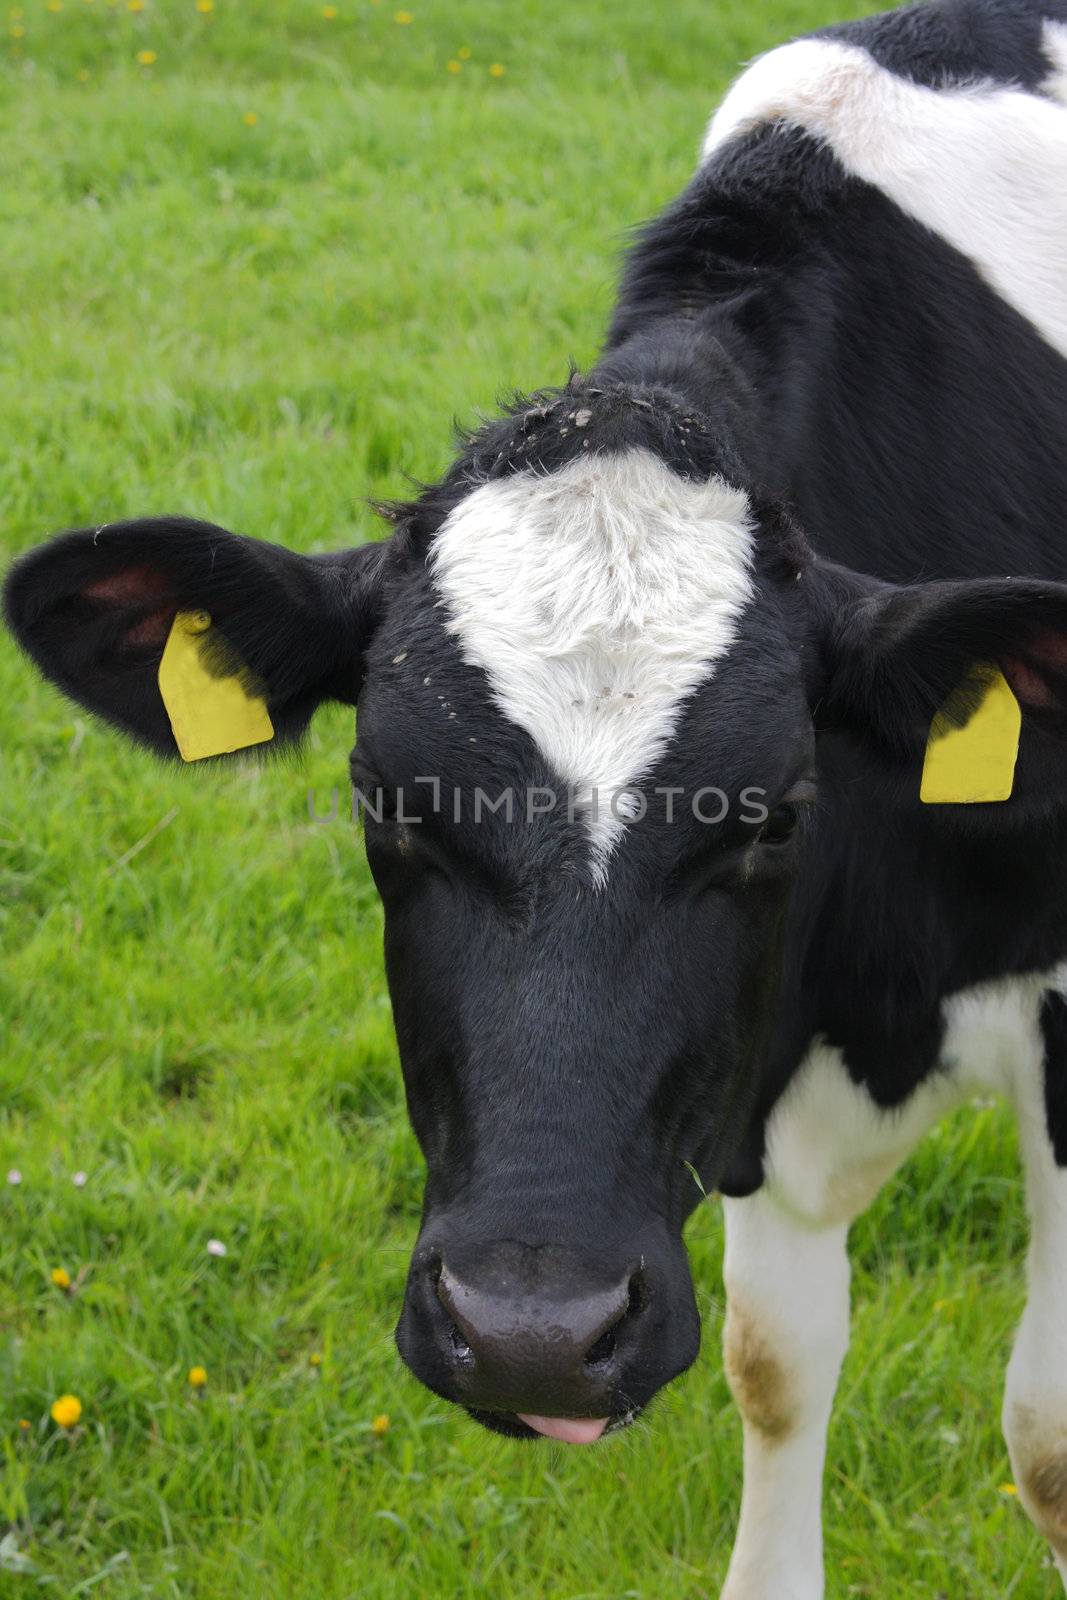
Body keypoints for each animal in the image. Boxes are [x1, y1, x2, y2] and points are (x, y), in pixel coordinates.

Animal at [6, 0, 1067, 1593]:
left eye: (774, 812)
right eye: (384, 800)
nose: (529, 1334)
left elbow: (1044, 1430)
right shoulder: (757, 1062)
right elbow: (775, 1362)